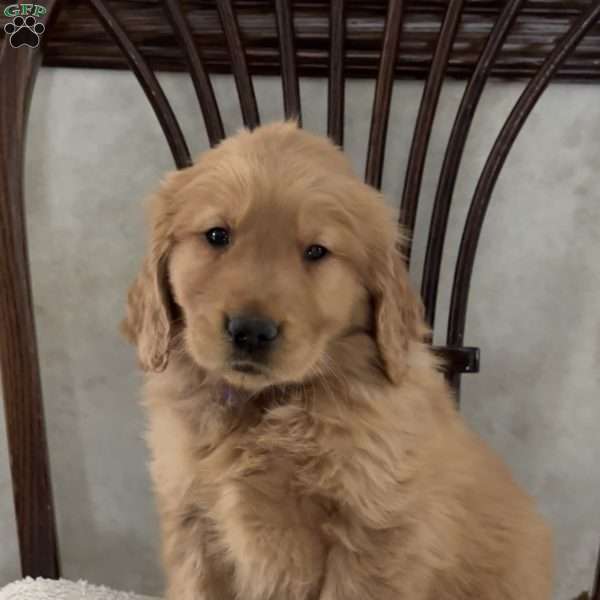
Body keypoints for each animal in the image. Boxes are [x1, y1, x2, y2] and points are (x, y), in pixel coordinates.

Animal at [122, 122, 552, 600]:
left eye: (316, 251)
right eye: (217, 235)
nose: (251, 331)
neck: (266, 408)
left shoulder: (374, 533)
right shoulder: (192, 521)